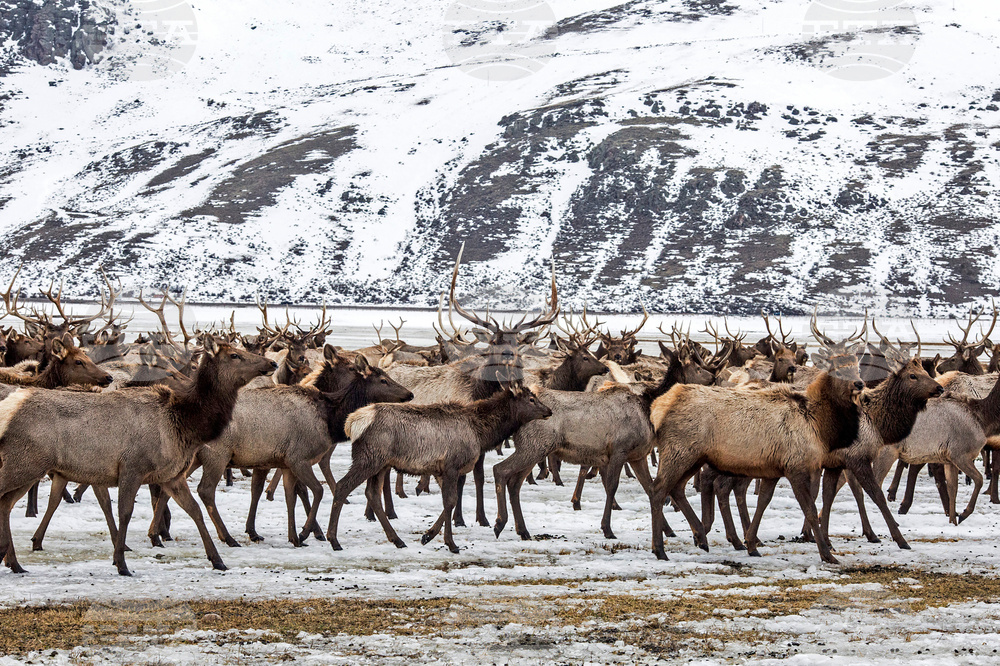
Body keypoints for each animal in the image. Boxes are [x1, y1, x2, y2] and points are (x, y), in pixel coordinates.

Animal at [0, 336, 277, 575]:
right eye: (235, 355)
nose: (272, 363)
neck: (184, 425)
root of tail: (9, 409)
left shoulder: (171, 475)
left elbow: (194, 510)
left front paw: (218, 560)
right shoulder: (132, 467)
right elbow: (124, 512)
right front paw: (121, 563)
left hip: (28, 469)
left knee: (5, 503)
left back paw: (14, 562)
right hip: (24, 463)